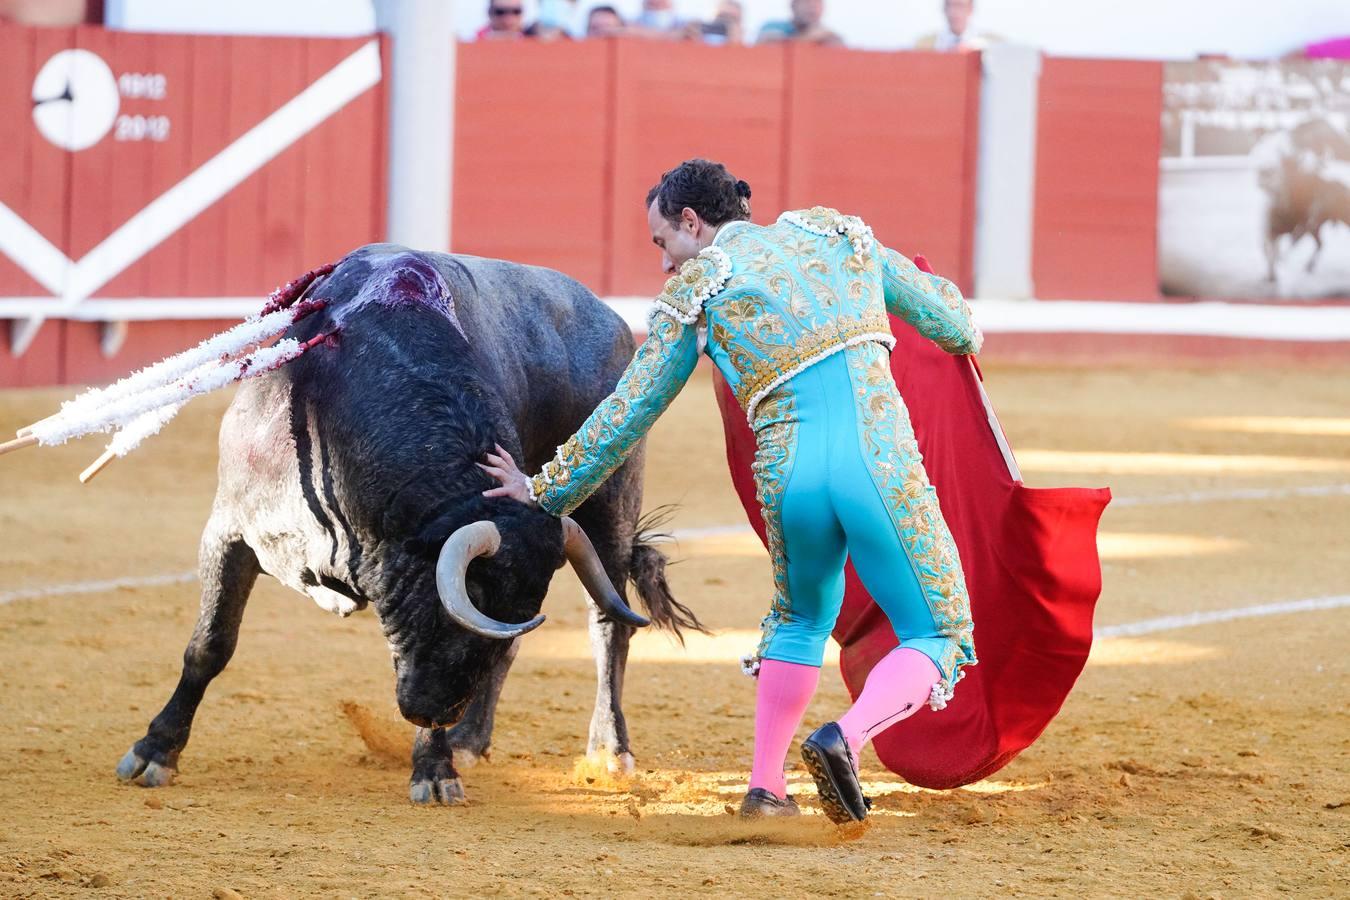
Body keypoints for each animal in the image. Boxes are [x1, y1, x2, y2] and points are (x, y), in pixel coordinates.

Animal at [114, 242, 702, 804]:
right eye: (477, 596)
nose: (429, 711)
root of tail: (611, 320)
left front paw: (434, 770)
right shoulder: (229, 531)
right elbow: (210, 644)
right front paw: (154, 751)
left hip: (610, 505)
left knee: (608, 626)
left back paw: (608, 751)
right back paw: (470, 741)